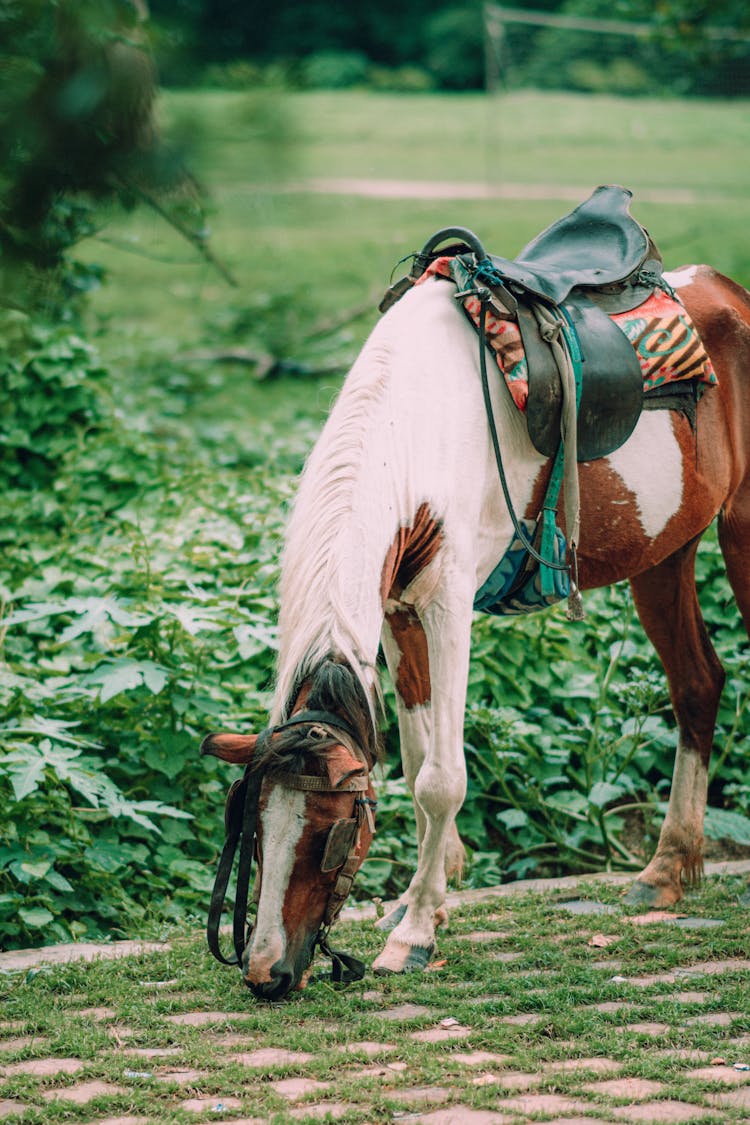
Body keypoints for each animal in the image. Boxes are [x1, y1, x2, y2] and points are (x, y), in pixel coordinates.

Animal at [202, 219, 750, 1003]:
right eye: (252, 826)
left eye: (332, 829)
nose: (265, 973)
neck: (413, 428)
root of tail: (728, 292)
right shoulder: (397, 614)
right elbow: (413, 756)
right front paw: (417, 899)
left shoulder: (448, 605)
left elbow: (442, 779)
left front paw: (414, 934)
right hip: (665, 552)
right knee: (698, 685)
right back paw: (667, 867)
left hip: (740, 530)